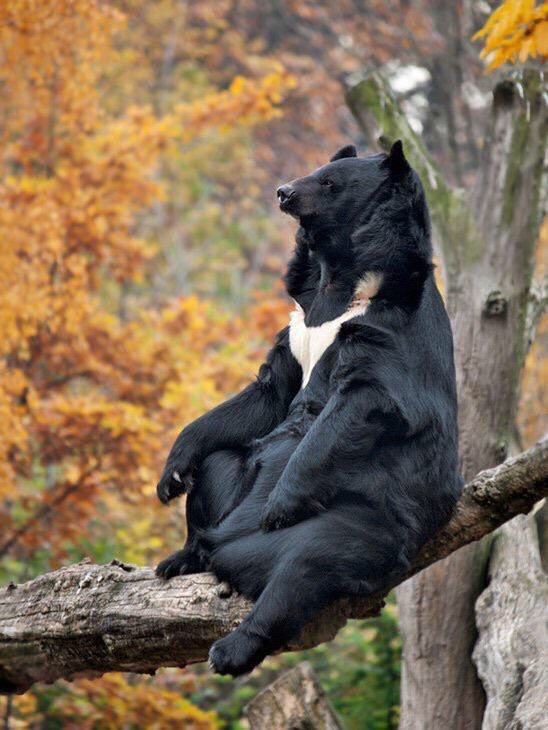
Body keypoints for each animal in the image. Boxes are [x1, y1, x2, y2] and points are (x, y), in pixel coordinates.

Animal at [155, 141, 462, 677]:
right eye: (314, 171)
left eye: (328, 182)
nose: (283, 191)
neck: (336, 280)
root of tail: (228, 553)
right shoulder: (298, 330)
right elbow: (266, 390)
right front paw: (170, 475)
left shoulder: (387, 327)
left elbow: (363, 400)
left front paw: (279, 506)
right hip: (235, 489)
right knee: (214, 469)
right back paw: (183, 556)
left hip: (372, 520)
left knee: (307, 564)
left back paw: (231, 649)